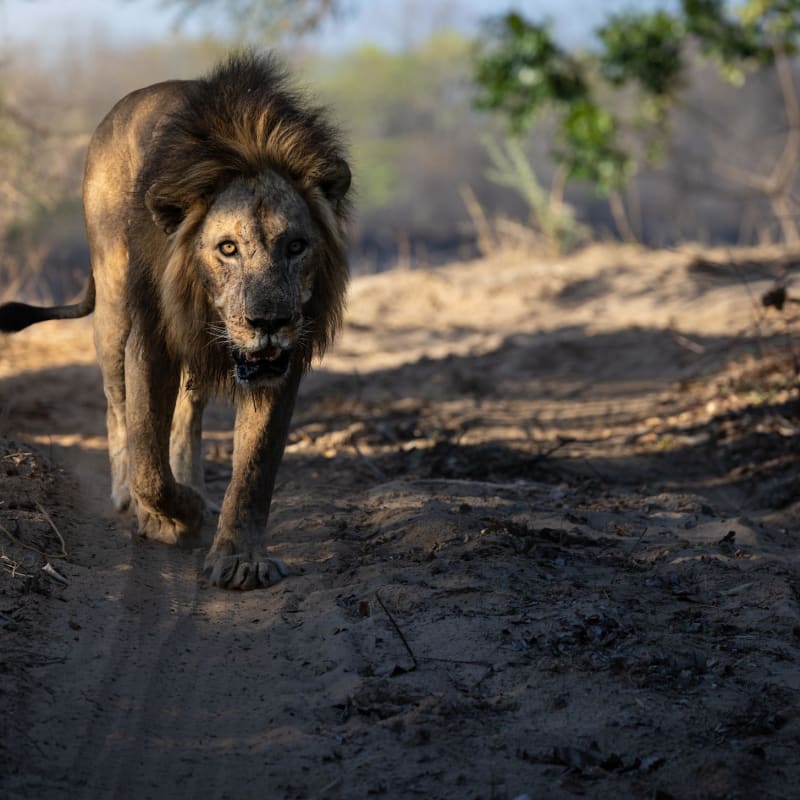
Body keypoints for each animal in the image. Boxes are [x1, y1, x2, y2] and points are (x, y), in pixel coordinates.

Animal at [0, 53, 351, 590]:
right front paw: (171, 519)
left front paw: (240, 557)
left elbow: (255, 466)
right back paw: (127, 496)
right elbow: (148, 457)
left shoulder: (280, 361)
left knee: (188, 414)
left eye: (296, 246)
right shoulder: (151, 334)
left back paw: (195, 487)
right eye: (227, 248)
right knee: (117, 406)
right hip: (112, 304)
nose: (268, 320)